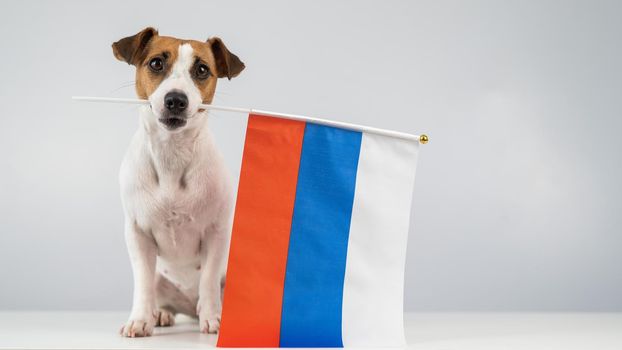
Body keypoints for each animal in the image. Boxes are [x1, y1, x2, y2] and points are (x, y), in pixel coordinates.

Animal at [112, 27, 246, 336]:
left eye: (202, 69)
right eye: (156, 63)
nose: (176, 99)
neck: (171, 155)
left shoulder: (215, 233)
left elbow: (208, 280)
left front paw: (213, 317)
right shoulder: (137, 234)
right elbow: (142, 283)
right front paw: (140, 319)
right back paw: (159, 313)